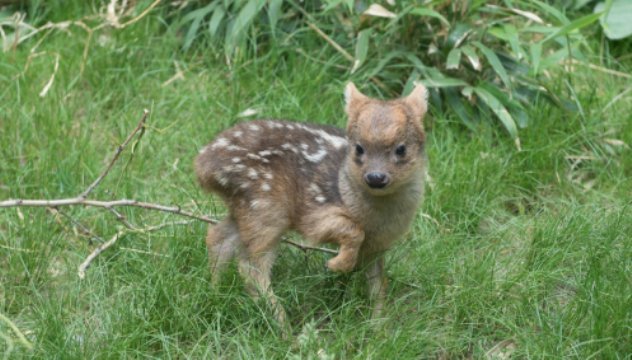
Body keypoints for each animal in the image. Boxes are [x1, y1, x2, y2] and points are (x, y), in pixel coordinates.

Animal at [195, 82, 428, 324]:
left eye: (401, 149)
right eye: (359, 148)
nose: (375, 177)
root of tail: (203, 166)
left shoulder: (379, 245)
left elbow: (378, 283)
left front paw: (378, 323)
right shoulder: (314, 213)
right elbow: (352, 231)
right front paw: (336, 265)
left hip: (245, 206)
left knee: (218, 237)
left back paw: (214, 294)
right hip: (266, 206)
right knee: (251, 267)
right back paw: (284, 325)